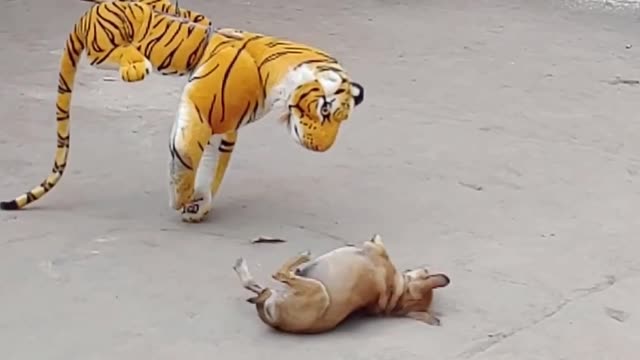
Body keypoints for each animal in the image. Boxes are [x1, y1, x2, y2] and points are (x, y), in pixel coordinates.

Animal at [231, 235, 450, 334]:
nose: (424, 268)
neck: (398, 293)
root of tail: (275, 321)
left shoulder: (375, 252)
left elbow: (376, 244)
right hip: (279, 291)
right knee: (260, 287)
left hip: (317, 290)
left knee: (279, 275)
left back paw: (301, 258)